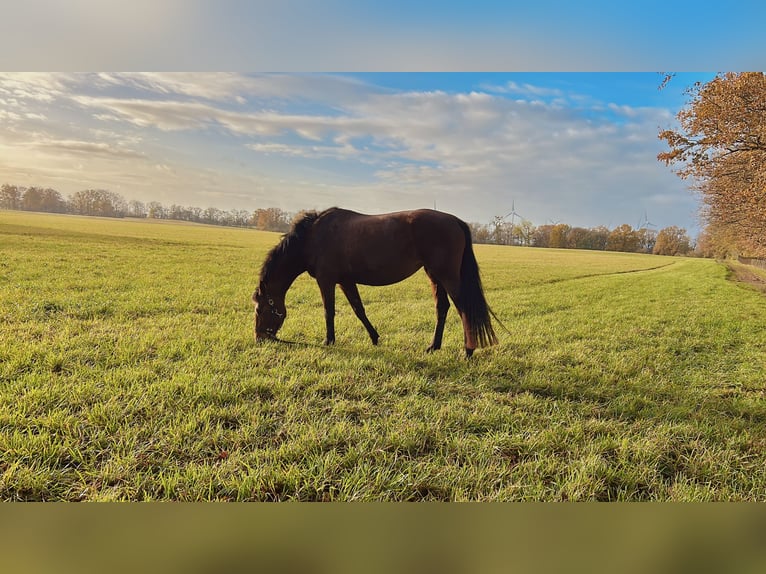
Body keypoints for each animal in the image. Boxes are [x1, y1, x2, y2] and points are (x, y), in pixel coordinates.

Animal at [255, 209, 500, 358]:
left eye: (259, 309)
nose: (260, 339)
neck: (312, 237)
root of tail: (455, 220)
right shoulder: (345, 281)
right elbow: (358, 309)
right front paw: (374, 338)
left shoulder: (327, 280)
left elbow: (328, 311)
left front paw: (329, 341)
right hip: (434, 275)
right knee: (442, 308)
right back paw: (433, 347)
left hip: (446, 276)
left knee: (463, 309)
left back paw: (468, 351)